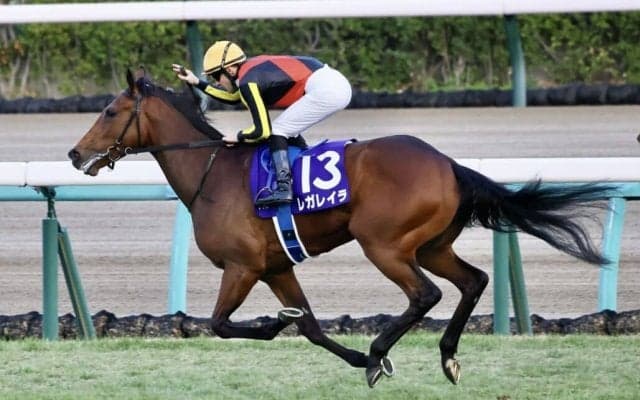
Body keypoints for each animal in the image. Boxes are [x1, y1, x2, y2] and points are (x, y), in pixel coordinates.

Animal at [69, 69, 611, 388]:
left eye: (110, 111)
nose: (75, 154)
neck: (212, 174)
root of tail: (448, 164)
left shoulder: (241, 267)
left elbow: (221, 324)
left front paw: (277, 326)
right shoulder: (275, 266)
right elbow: (308, 325)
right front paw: (329, 346)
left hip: (385, 245)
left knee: (425, 295)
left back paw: (379, 352)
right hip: (431, 245)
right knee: (473, 281)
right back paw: (445, 357)